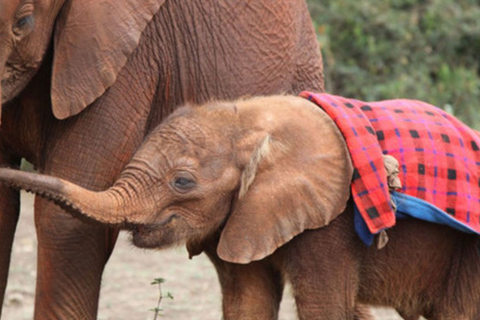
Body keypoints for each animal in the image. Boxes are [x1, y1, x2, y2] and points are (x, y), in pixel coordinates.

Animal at [0, 94, 480, 318]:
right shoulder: (246, 217)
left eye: (182, 181)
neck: (247, 119)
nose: (8, 162)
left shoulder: (332, 223)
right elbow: (247, 301)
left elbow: (323, 309)